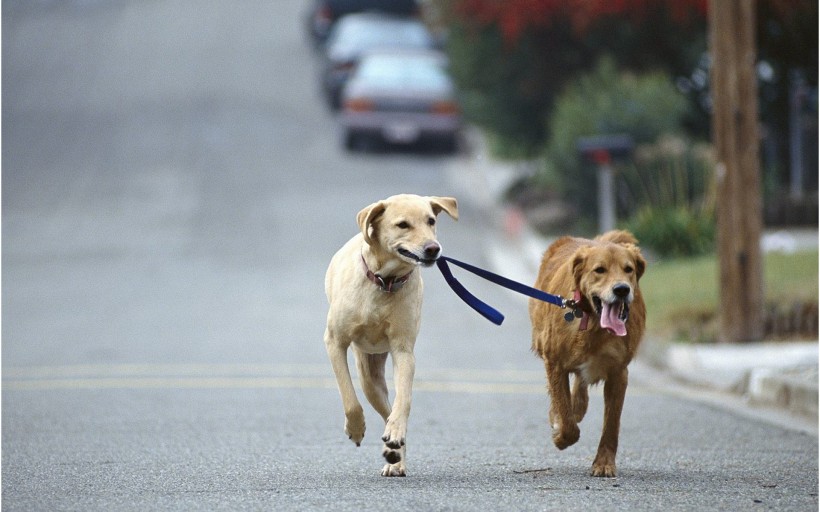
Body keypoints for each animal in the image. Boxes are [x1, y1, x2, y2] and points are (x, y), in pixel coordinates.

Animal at [324, 193, 458, 476]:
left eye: (431, 221)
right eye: (403, 225)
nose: (433, 248)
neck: (384, 282)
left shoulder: (403, 350)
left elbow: (403, 399)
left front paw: (395, 435)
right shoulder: (334, 342)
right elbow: (349, 397)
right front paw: (355, 429)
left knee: (391, 411)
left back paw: (395, 452)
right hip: (368, 377)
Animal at [532, 230, 648, 478]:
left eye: (628, 269)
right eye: (599, 270)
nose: (622, 289)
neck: (594, 323)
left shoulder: (619, 373)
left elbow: (611, 424)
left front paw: (604, 463)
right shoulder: (554, 362)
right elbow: (565, 416)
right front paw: (561, 435)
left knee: (580, 384)